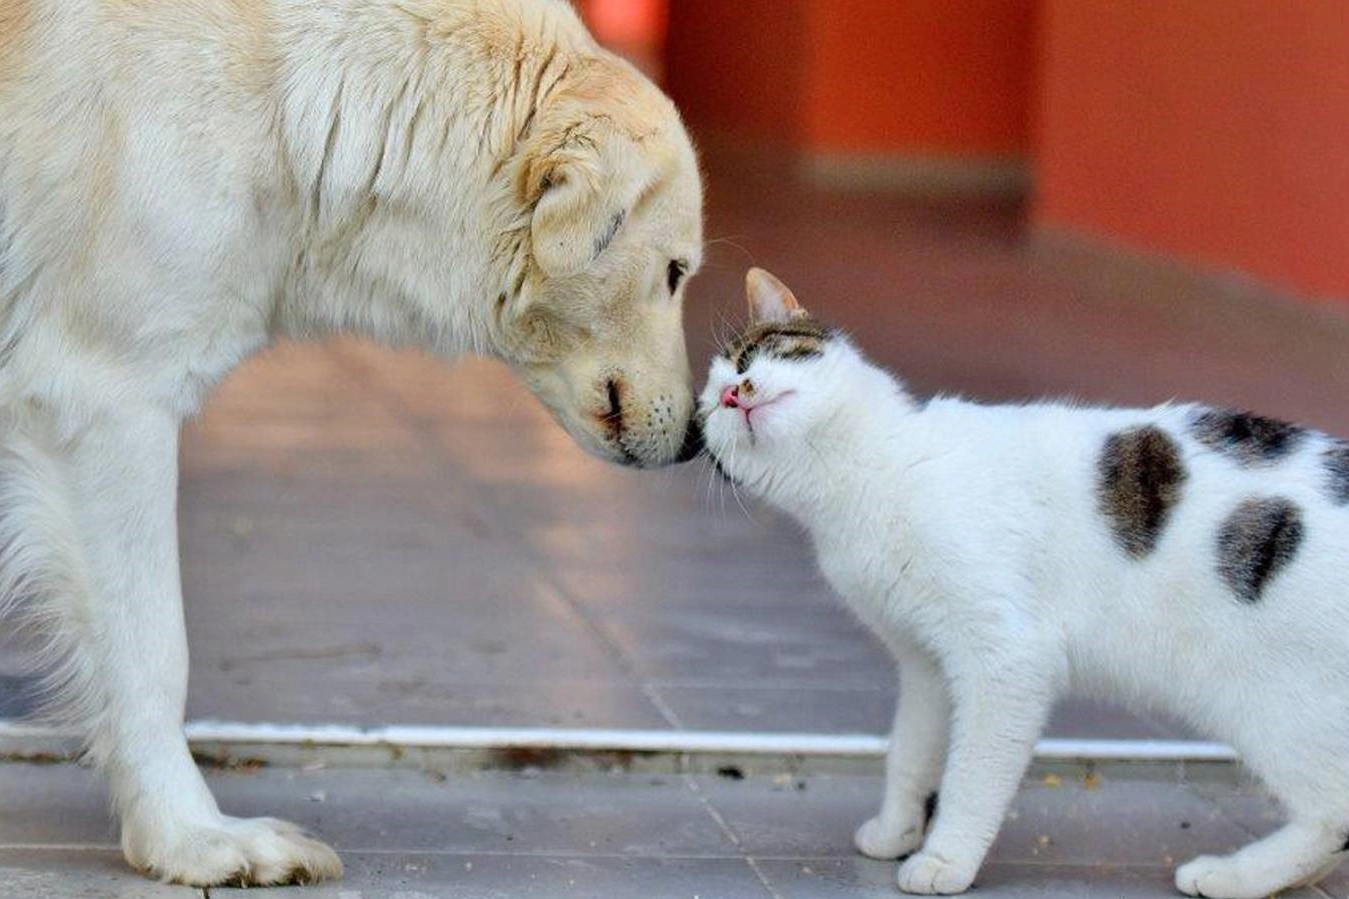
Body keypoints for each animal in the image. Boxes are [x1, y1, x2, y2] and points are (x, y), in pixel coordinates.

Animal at [2, 0, 706, 880]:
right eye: (675, 271)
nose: (697, 438)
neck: (288, 94)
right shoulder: (109, 402)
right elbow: (151, 653)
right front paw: (192, 838)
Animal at [701, 267, 1349, 896]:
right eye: (709, 413)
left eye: (752, 358)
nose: (734, 394)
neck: (864, 480)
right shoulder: (925, 663)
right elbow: (909, 751)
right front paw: (895, 831)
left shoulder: (1008, 659)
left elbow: (972, 775)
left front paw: (945, 860)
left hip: (1273, 709)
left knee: (1332, 815)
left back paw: (1229, 876)